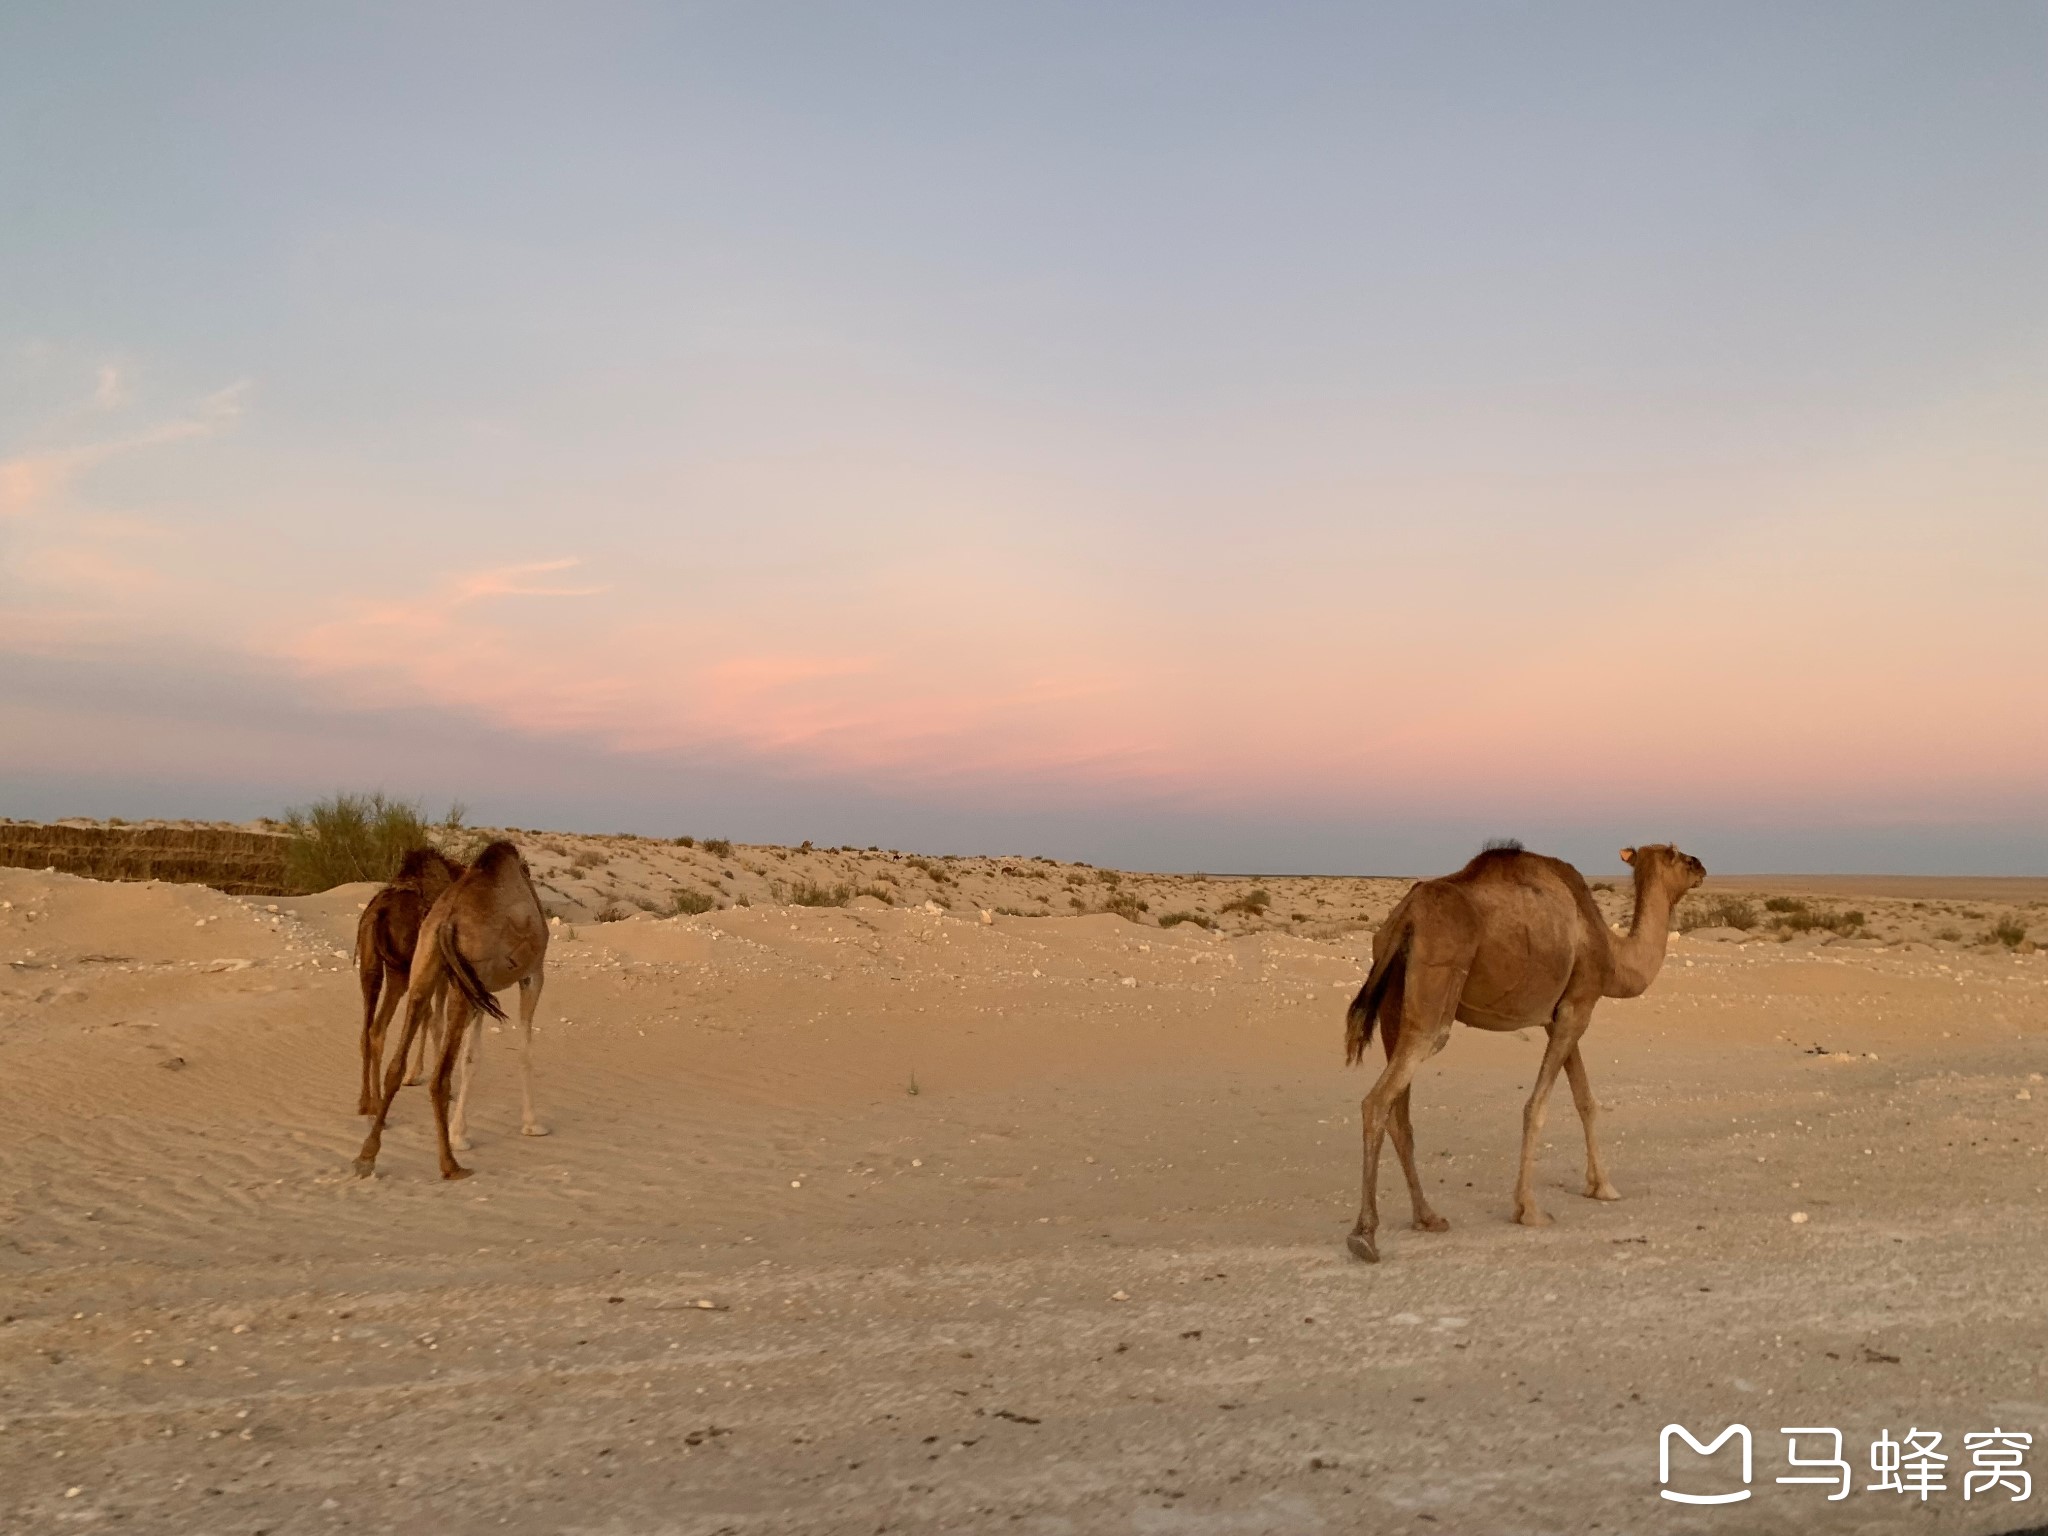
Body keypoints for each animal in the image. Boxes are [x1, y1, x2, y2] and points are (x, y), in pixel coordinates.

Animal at [352, 843, 464, 1122]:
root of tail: (377, 915)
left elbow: (428, 1015)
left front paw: (414, 1075)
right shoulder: (440, 971)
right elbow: (435, 1020)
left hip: (371, 966)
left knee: (370, 1030)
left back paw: (367, 1103)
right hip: (400, 970)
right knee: (380, 1027)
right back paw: (378, 1104)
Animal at [1343, 843, 1712, 1261]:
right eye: (1677, 855)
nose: (1701, 867)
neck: (1611, 952)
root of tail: (1404, 919)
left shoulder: (1561, 1015)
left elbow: (1585, 1100)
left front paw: (1602, 1186)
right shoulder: (1578, 1007)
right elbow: (1537, 1106)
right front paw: (1529, 1209)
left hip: (1395, 1007)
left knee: (1399, 1115)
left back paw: (1428, 1217)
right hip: (1435, 990)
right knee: (1378, 1099)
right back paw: (1364, 1235)